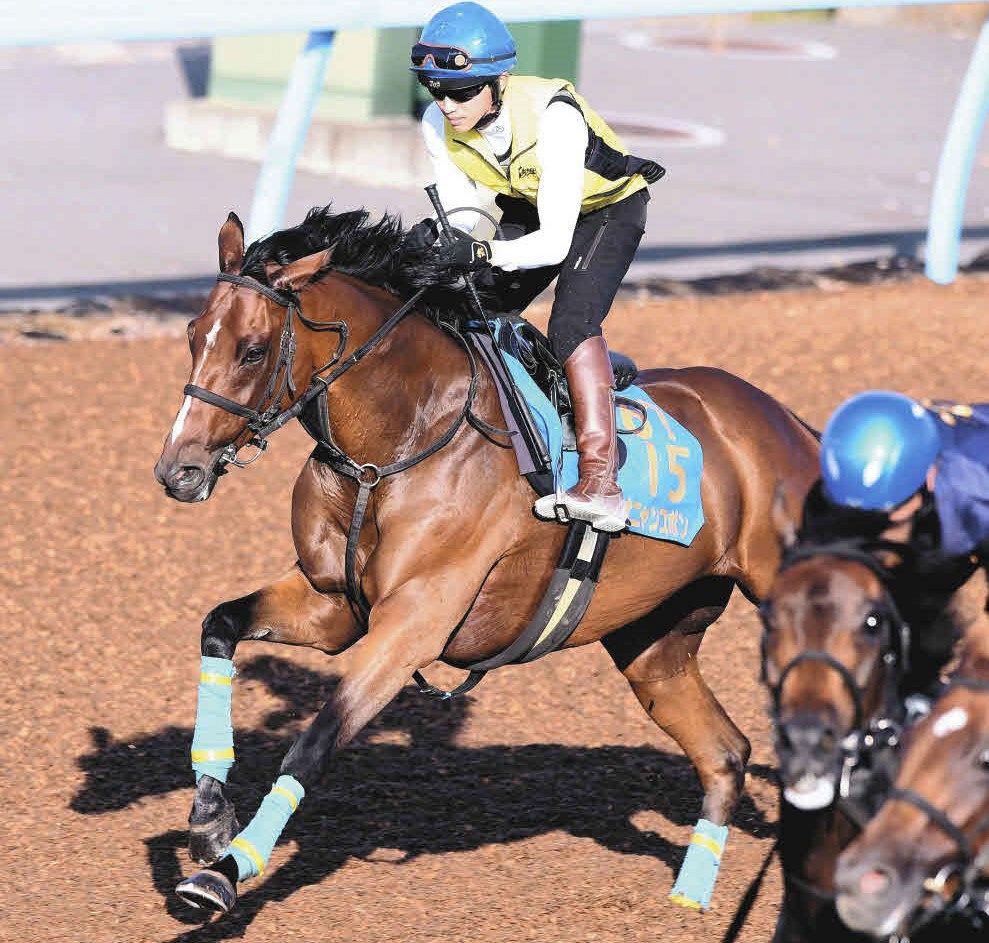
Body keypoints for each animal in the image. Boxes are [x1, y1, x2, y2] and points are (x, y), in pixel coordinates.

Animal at [153, 205, 820, 915]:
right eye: (193, 336)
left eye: (252, 349)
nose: (179, 470)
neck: (399, 443)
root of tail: (789, 422)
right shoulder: (331, 605)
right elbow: (220, 625)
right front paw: (208, 820)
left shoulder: (413, 625)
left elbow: (313, 743)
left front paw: (226, 871)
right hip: (655, 641)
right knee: (725, 752)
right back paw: (690, 897)